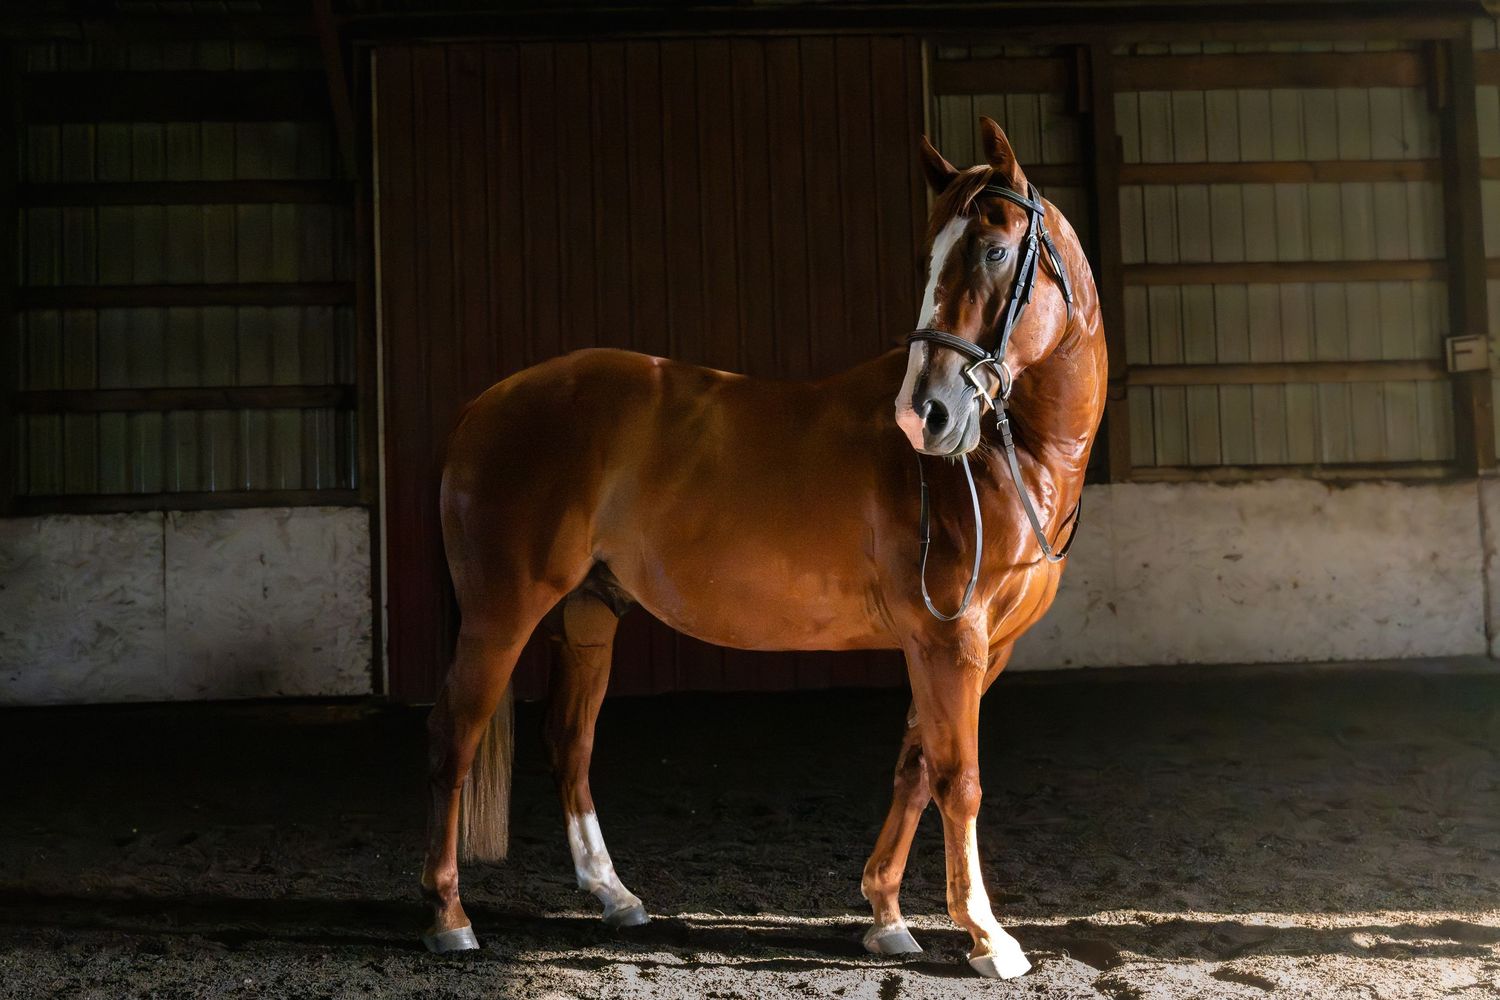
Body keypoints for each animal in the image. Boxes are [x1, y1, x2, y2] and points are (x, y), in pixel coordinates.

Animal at [418, 116, 1108, 979]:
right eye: (931, 257)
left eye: (990, 250)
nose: (926, 414)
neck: (998, 463)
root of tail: (486, 404)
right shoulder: (950, 640)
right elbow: (959, 778)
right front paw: (987, 936)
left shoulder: (969, 647)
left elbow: (915, 768)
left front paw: (886, 915)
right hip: (500, 616)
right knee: (456, 738)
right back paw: (450, 916)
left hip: (588, 616)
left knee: (568, 742)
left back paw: (615, 896)